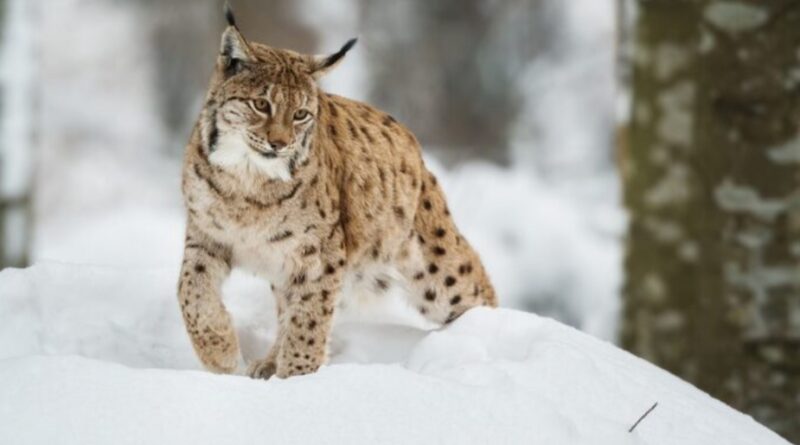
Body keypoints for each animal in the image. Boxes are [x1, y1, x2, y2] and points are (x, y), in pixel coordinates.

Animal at [177, 3, 497, 380]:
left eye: (301, 114)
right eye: (261, 105)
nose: (279, 144)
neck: (246, 176)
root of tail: (411, 142)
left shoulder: (319, 254)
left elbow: (308, 323)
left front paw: (297, 380)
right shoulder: (205, 236)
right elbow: (191, 292)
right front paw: (220, 353)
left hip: (435, 270)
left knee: (478, 288)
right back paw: (269, 361)